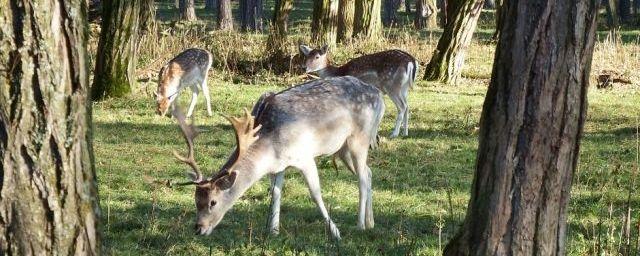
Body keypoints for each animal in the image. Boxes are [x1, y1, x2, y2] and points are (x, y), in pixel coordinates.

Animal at [168, 75, 384, 238]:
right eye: (195, 199)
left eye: (213, 202)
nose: (199, 229)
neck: (271, 148)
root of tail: (379, 96)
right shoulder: (279, 166)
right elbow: (276, 193)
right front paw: (273, 230)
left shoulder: (304, 157)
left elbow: (315, 194)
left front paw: (335, 232)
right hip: (342, 149)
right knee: (368, 172)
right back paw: (371, 222)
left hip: (359, 139)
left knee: (362, 178)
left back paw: (360, 224)